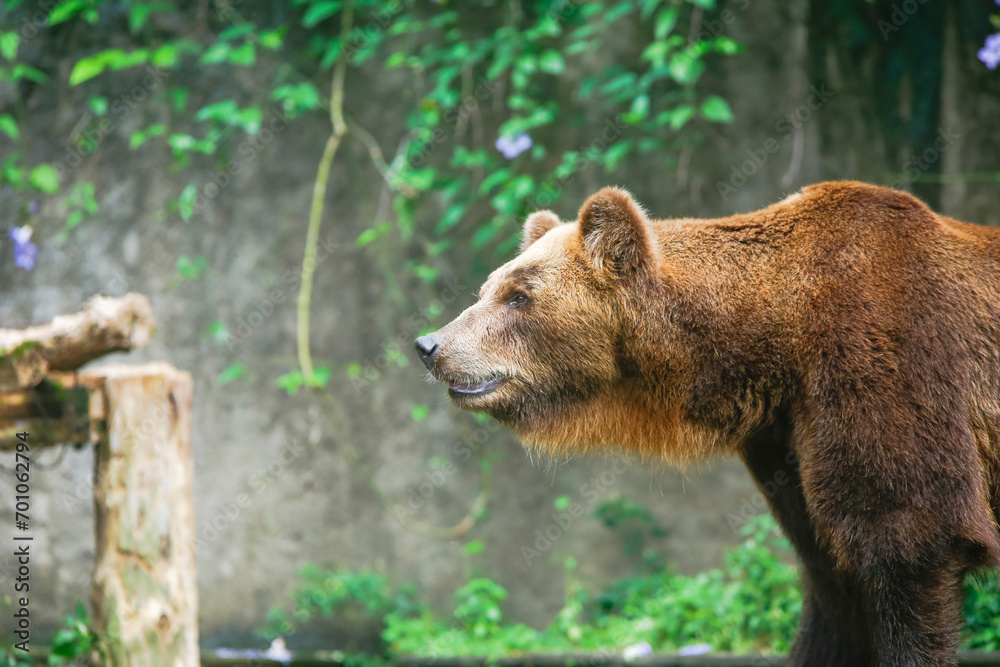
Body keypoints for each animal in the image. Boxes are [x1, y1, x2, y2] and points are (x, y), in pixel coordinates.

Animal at [413, 181, 1000, 667]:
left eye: (519, 296)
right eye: (486, 289)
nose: (429, 345)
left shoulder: (884, 360)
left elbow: (908, 532)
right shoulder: (788, 441)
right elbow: (833, 581)